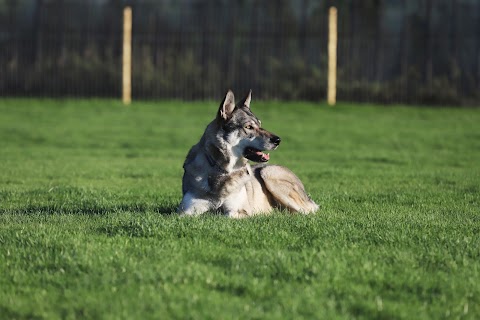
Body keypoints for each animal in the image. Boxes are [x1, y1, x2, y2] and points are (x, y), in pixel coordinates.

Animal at [176, 89, 318, 218]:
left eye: (260, 125)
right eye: (249, 127)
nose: (278, 140)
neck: (222, 171)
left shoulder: (240, 211)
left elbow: (224, 215)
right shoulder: (185, 212)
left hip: (268, 173)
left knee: (306, 212)